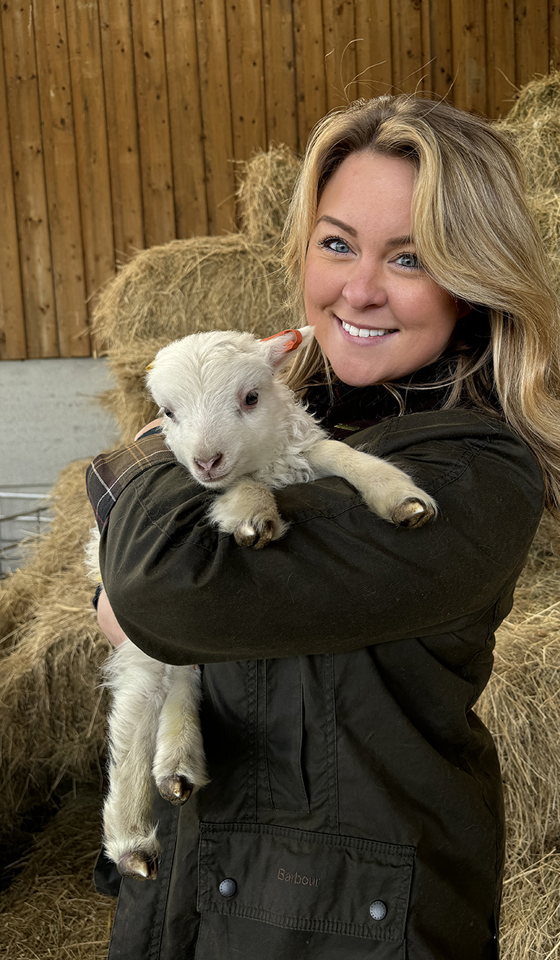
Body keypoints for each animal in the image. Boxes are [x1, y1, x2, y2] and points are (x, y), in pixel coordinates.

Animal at [91, 326, 438, 880]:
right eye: (167, 412)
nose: (206, 460)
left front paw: (399, 496)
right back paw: (131, 837)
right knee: (140, 704)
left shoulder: (300, 448)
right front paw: (252, 516)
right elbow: (243, 490)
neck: (263, 461)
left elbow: (338, 453)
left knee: (181, 678)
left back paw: (177, 766)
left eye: (251, 398)